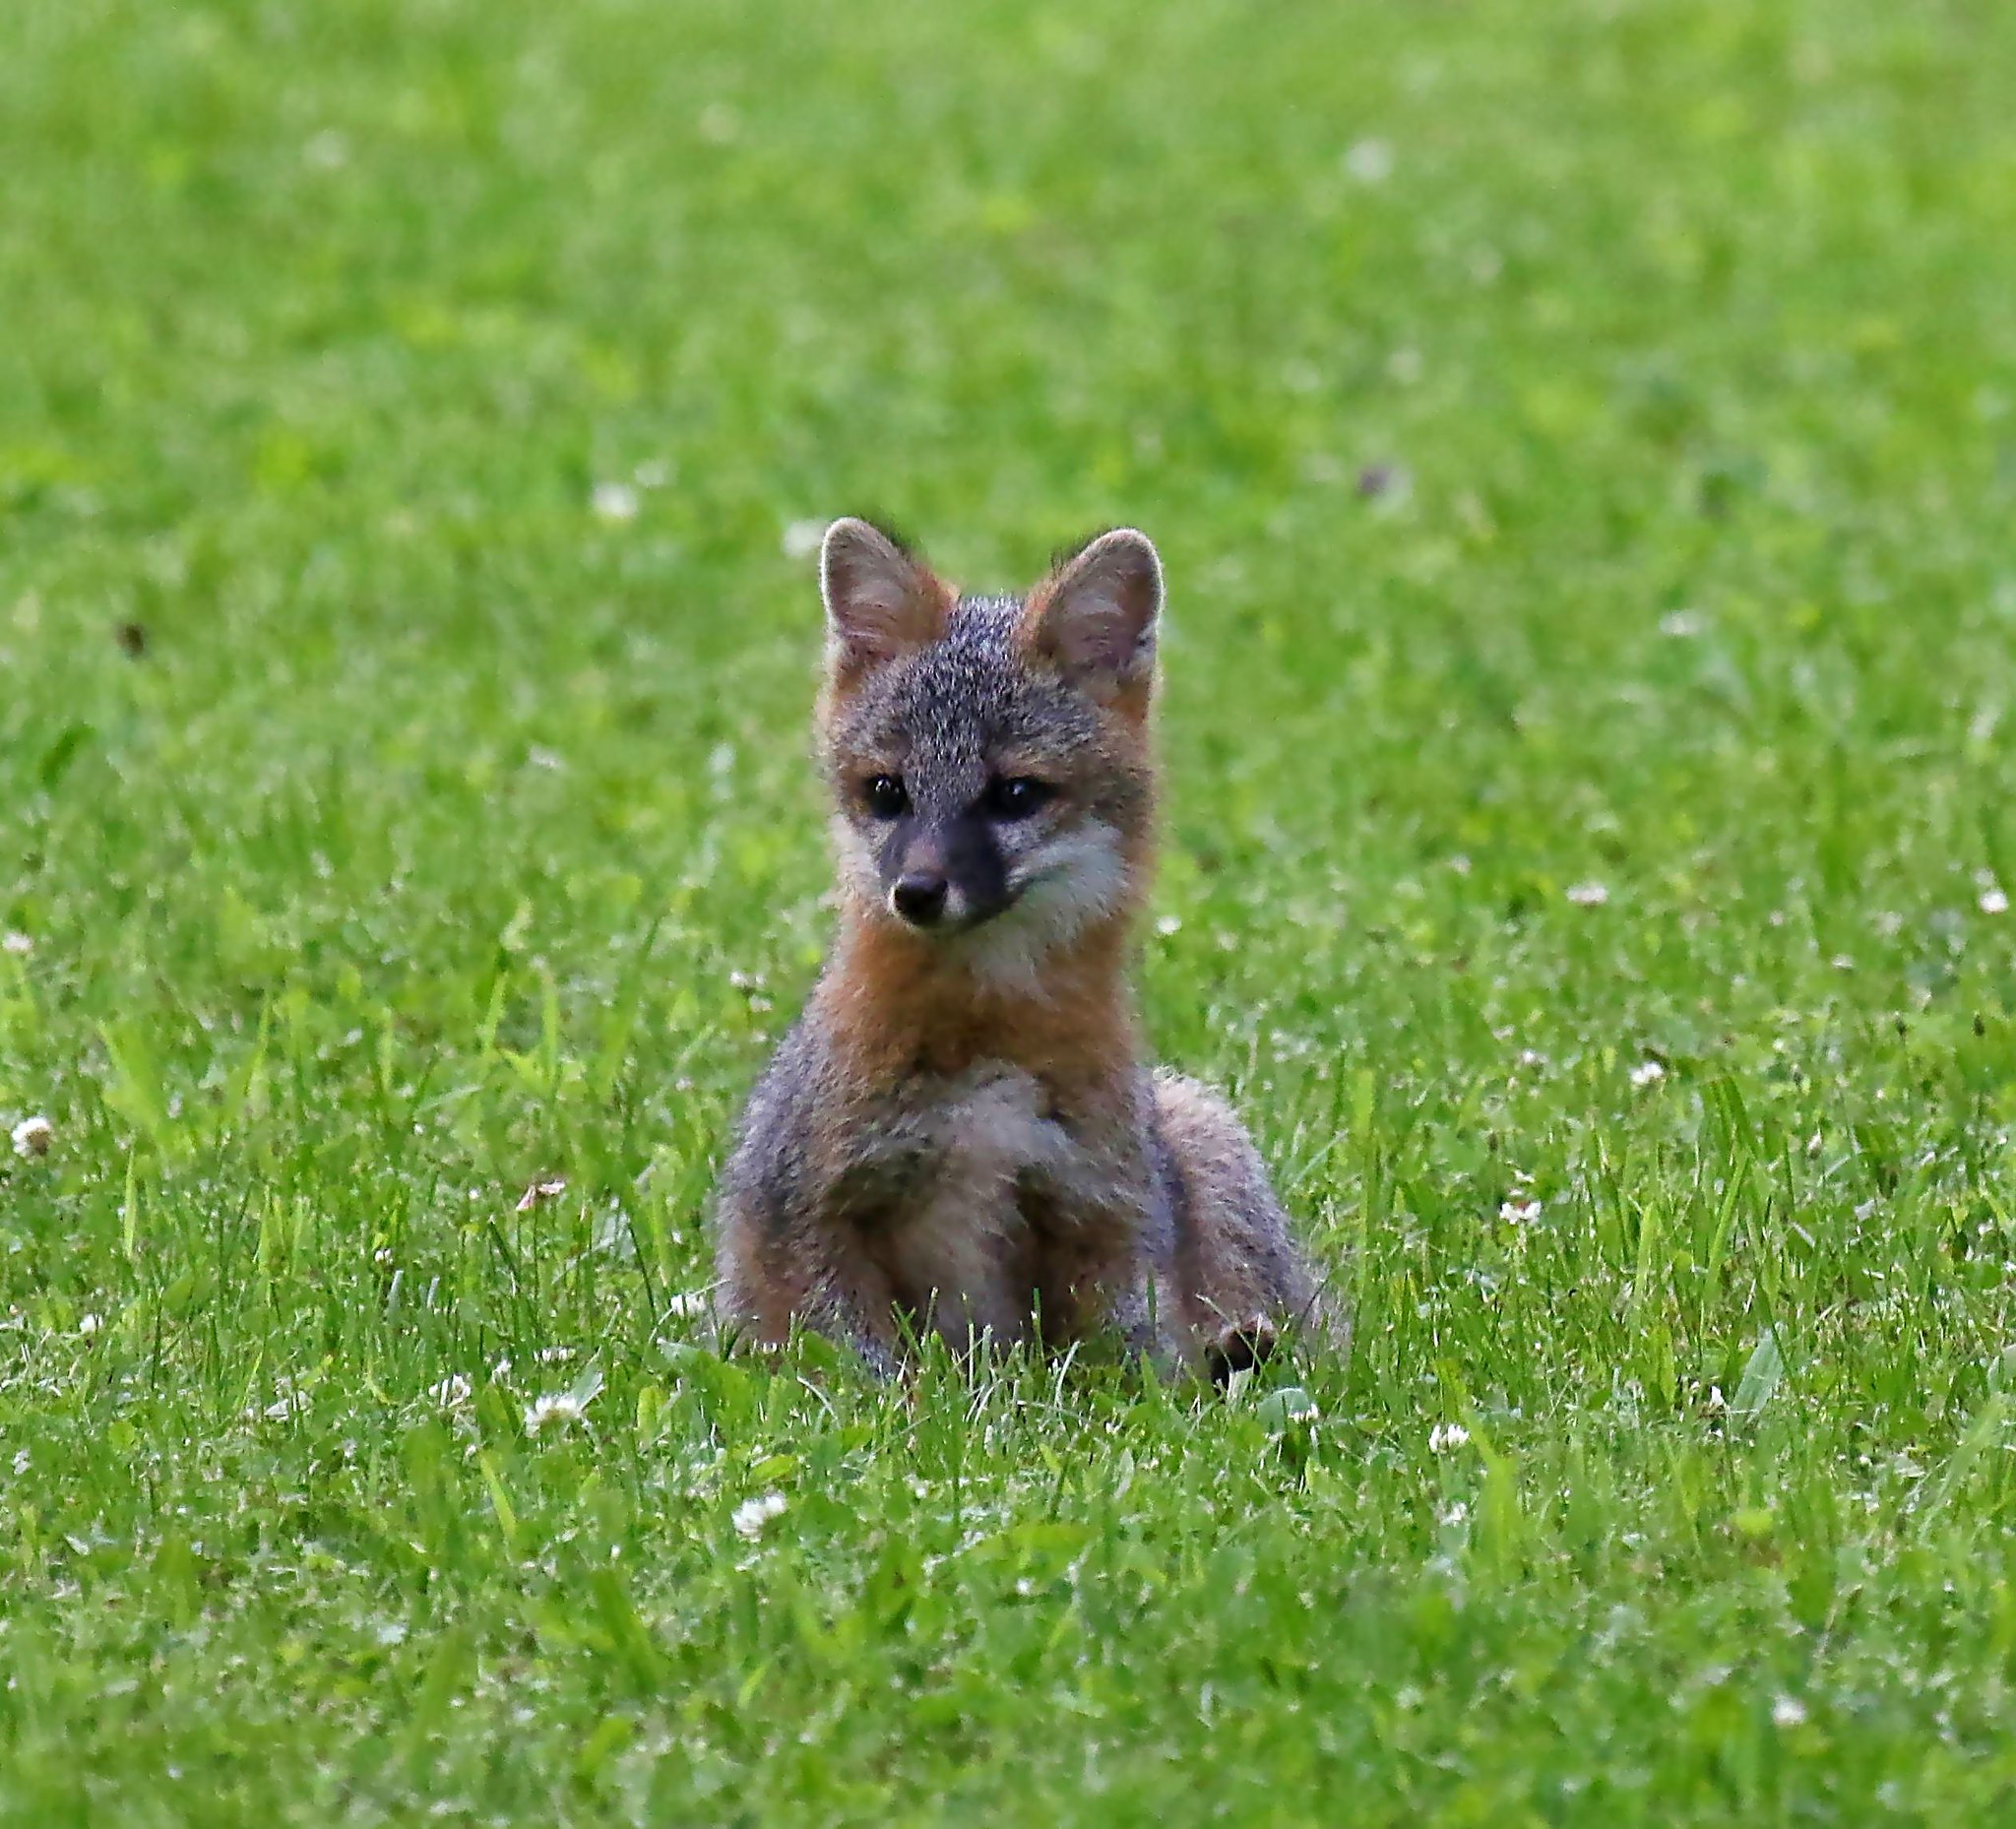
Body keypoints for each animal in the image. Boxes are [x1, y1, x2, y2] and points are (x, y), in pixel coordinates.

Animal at [713, 517, 1331, 1380]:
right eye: (886, 792)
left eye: (1014, 795)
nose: (917, 892)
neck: (987, 1036)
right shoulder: (807, 1214)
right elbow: (866, 1374)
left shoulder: (1103, 1215)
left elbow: (1123, 1370)